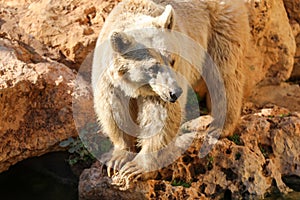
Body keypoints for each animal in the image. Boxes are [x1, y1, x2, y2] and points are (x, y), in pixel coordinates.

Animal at [92, 0, 251, 189]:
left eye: (172, 59)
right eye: (152, 67)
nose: (175, 92)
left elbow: (161, 116)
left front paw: (135, 168)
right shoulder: (110, 81)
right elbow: (113, 110)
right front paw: (117, 159)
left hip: (220, 27)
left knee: (224, 75)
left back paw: (217, 126)